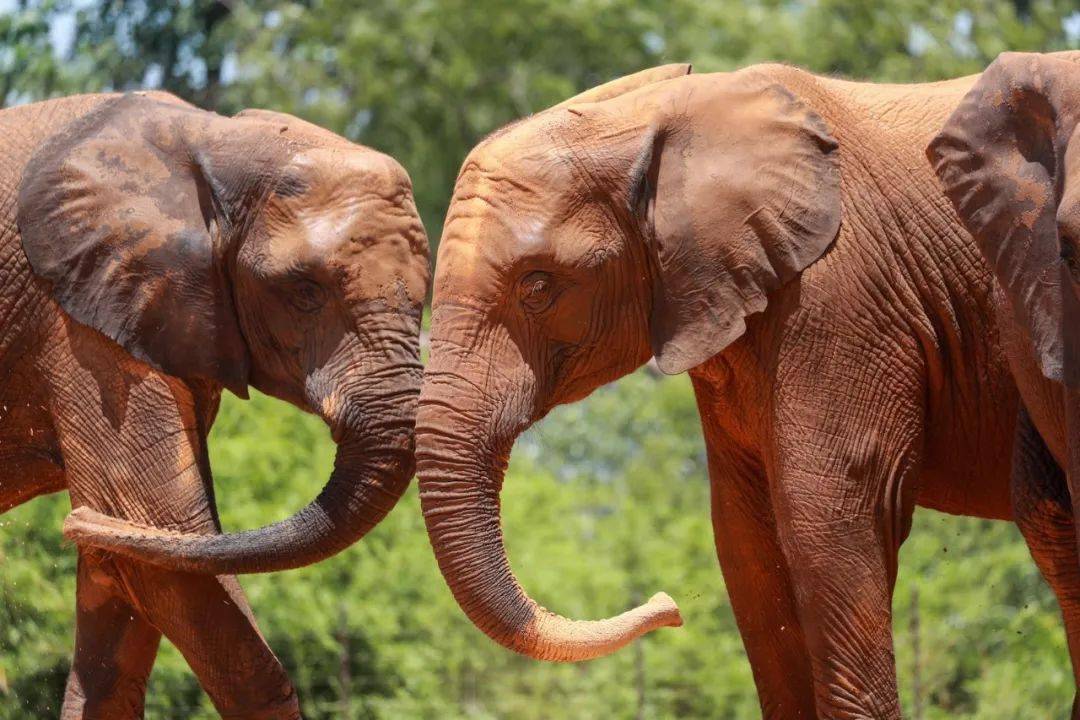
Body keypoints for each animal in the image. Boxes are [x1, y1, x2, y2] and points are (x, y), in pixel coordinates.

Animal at [0, 92, 429, 716]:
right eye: (304, 291)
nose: (73, 522)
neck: (214, 140)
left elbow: (137, 569)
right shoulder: (82, 323)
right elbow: (156, 523)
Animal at [410, 62, 1071, 720]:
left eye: (538, 287)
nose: (669, 606)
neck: (663, 112)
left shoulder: (840, 298)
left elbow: (828, 517)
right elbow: (746, 543)